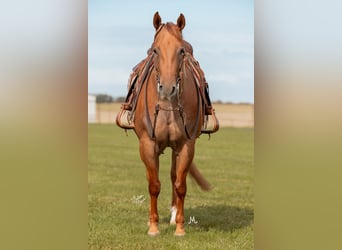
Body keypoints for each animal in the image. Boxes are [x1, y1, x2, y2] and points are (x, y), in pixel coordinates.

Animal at [117, 12, 219, 236]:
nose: (167, 88)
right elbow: (154, 185)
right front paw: (153, 227)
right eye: (155, 50)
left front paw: (180, 227)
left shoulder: (186, 145)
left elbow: (180, 184)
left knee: (174, 176)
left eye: (181, 51)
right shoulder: (147, 144)